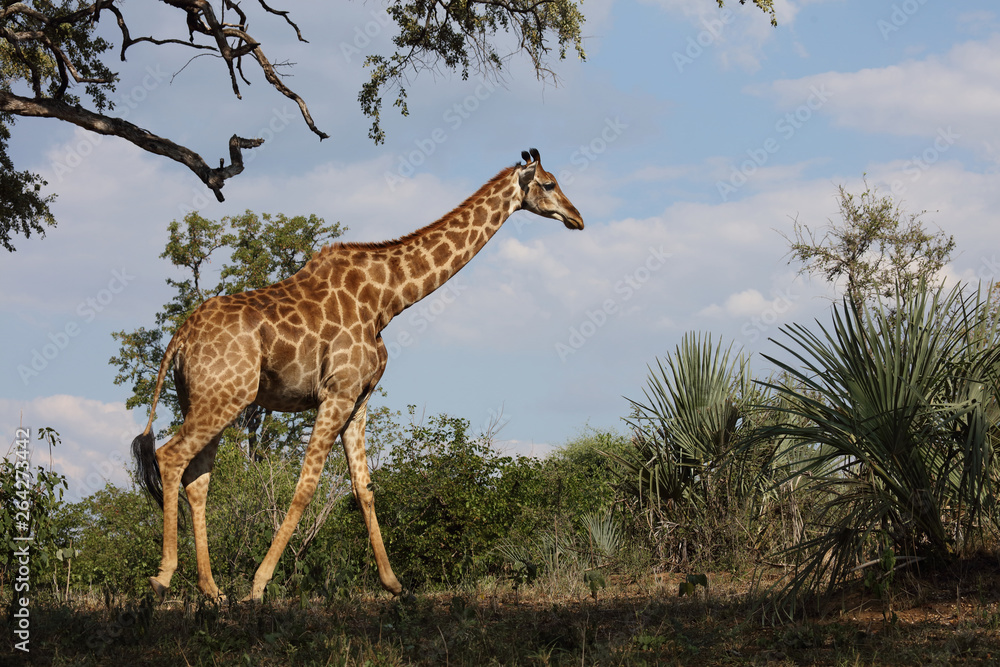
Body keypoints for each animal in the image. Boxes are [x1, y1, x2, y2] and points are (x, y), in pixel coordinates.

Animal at [131, 148, 584, 602]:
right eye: (549, 184)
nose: (577, 217)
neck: (387, 299)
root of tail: (179, 339)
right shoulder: (337, 392)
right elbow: (306, 485)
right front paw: (259, 586)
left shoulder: (359, 397)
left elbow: (363, 487)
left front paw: (394, 584)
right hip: (225, 397)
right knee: (170, 457)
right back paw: (163, 577)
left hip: (206, 399)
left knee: (198, 479)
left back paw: (212, 590)